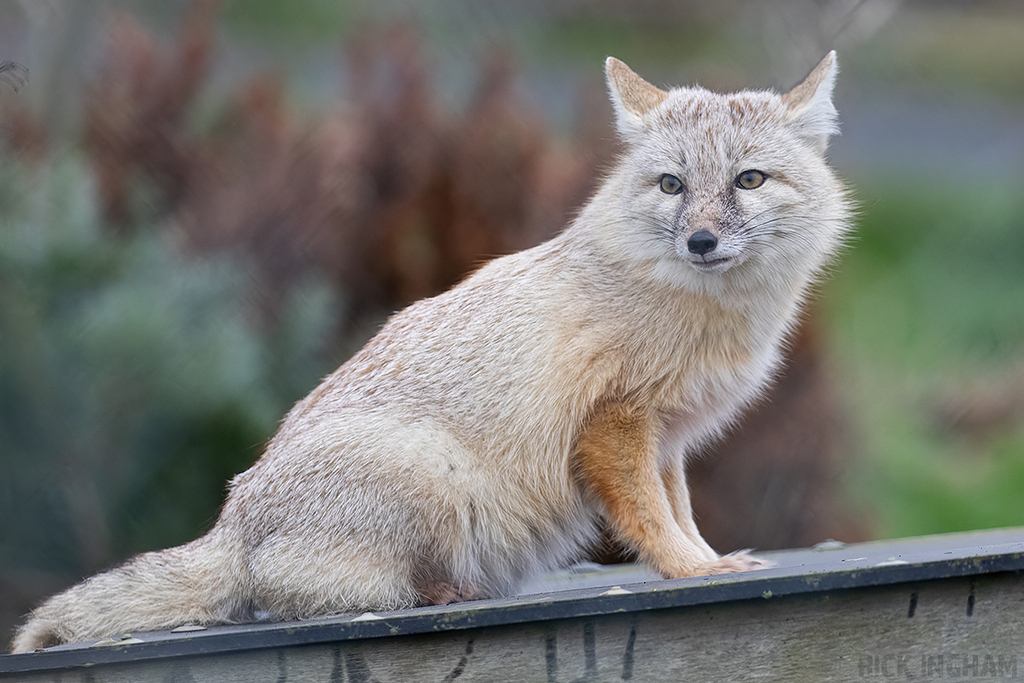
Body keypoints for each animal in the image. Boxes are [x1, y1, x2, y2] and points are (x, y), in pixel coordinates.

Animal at [11, 52, 852, 653]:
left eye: (748, 179)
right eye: (673, 185)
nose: (701, 240)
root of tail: (231, 524)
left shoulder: (666, 435)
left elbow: (680, 510)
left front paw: (710, 556)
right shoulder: (616, 423)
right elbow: (653, 520)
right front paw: (695, 570)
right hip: (434, 479)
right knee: (288, 599)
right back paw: (434, 593)